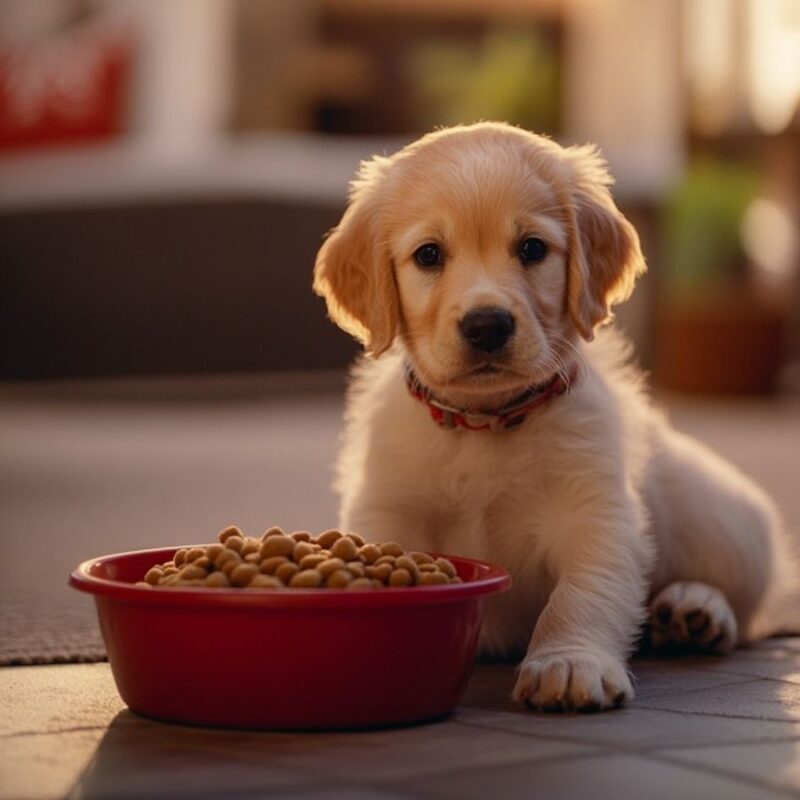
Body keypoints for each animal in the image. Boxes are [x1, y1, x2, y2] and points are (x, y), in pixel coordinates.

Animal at [310, 122, 792, 708]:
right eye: (428, 255)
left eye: (532, 248)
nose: (487, 325)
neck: (486, 423)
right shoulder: (388, 508)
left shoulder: (595, 511)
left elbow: (582, 591)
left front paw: (568, 662)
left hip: (723, 524)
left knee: (749, 612)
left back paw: (698, 609)